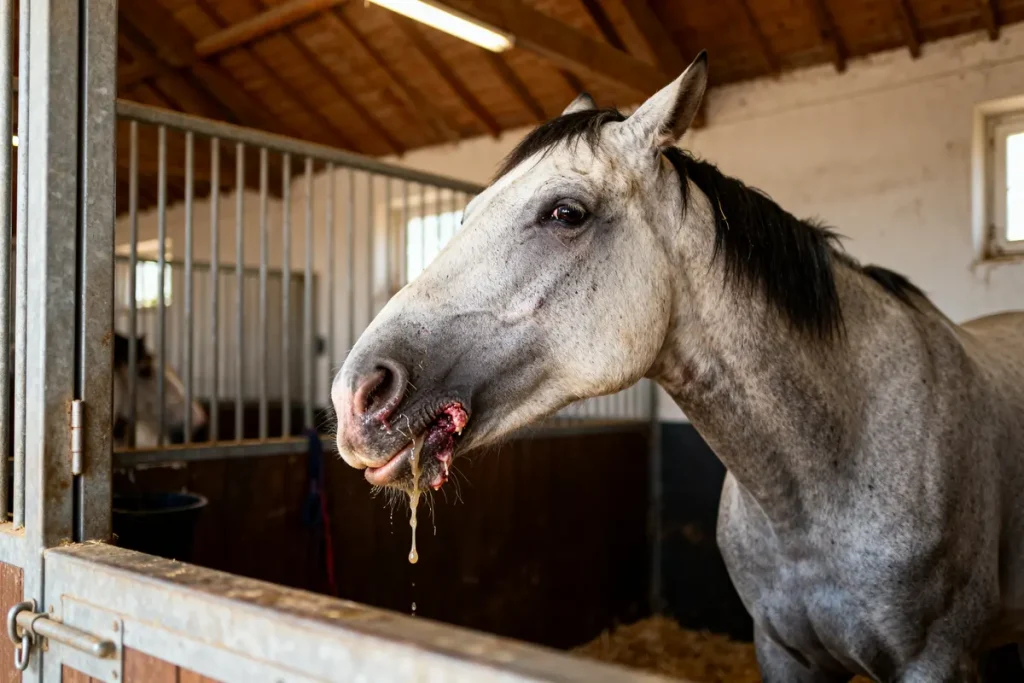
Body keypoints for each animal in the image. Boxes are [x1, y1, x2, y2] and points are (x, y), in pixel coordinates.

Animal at [330, 52, 1024, 682]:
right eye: (466, 216)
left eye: (566, 212)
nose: (357, 396)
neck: (834, 464)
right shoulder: (784, 652)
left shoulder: (934, 661)